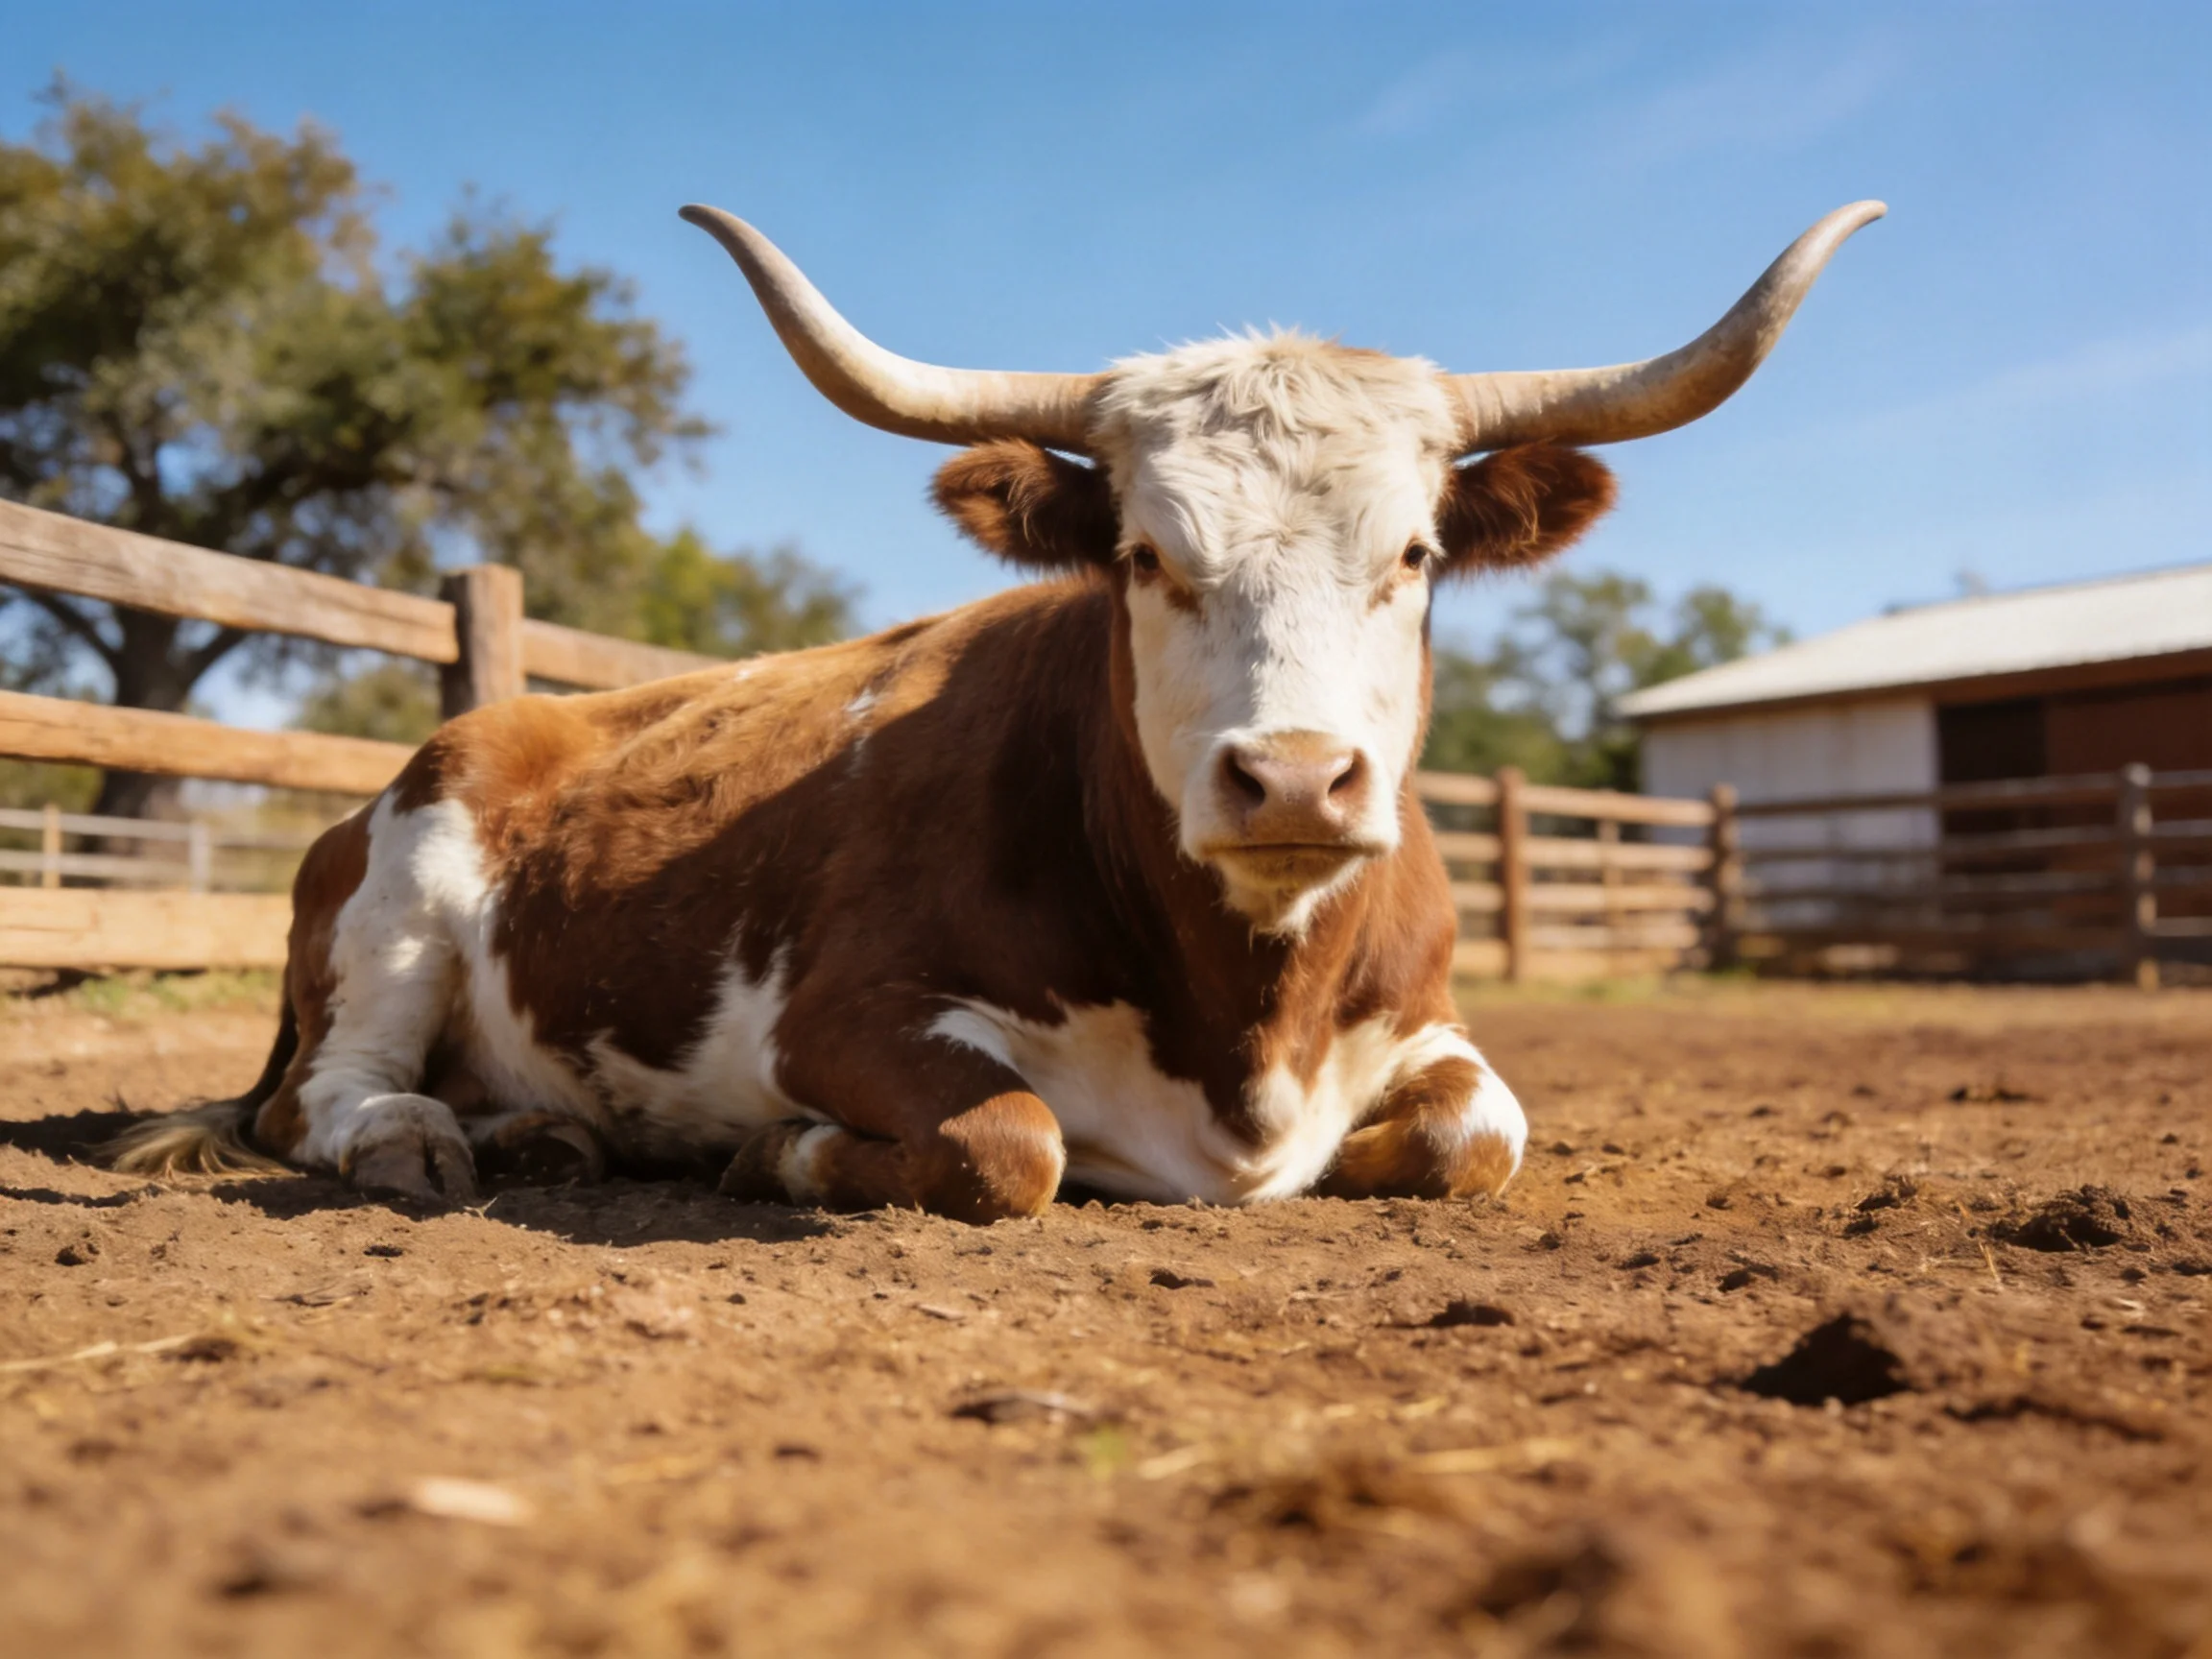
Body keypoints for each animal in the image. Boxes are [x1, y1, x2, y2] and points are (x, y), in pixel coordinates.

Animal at [112, 201, 1882, 1222]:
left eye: (1415, 552)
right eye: (1145, 555)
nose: (1293, 779)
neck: (1243, 1016)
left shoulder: (1430, 1021)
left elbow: (1478, 1134)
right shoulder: (839, 1015)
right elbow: (1010, 1141)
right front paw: (778, 1155)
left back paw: (553, 1141)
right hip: (400, 899)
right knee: (328, 1096)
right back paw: (429, 1140)